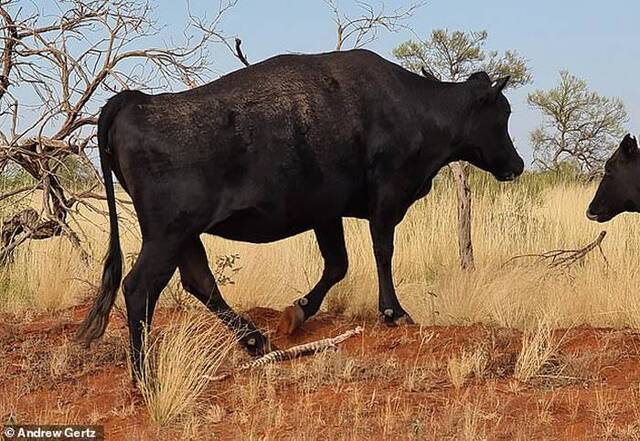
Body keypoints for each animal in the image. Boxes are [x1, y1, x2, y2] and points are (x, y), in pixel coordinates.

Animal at [76, 49, 524, 374]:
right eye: (502, 114)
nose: (517, 164)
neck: (415, 108)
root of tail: (137, 101)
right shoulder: (386, 198)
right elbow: (382, 252)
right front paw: (394, 311)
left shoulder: (327, 213)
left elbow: (337, 265)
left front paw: (297, 313)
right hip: (166, 234)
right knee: (140, 288)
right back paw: (143, 375)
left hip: (184, 236)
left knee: (200, 283)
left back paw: (255, 340)